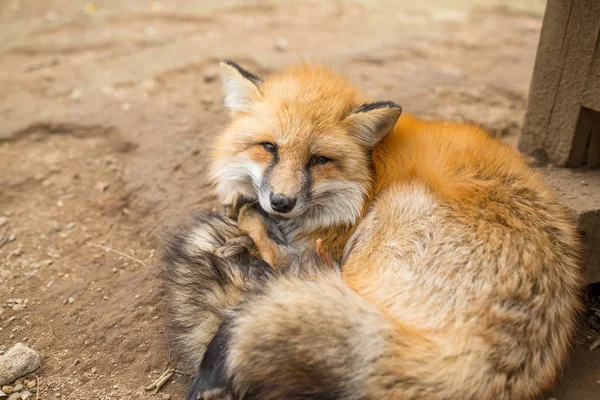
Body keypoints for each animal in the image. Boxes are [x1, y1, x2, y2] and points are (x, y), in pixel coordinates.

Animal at [162, 60, 584, 400]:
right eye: (269, 147)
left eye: (319, 160)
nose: (281, 202)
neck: (370, 173)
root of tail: (469, 366)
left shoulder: (331, 239)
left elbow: (275, 243)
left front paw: (245, 220)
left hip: (390, 215)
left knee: (283, 276)